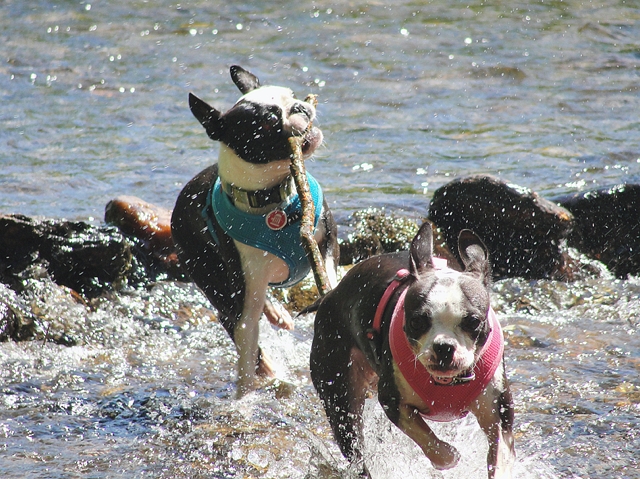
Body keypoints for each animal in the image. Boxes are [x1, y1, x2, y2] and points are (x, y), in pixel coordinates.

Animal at [170, 66, 340, 398]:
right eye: (269, 121)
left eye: (292, 95)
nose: (301, 107)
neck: (275, 198)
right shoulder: (244, 293)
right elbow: (246, 348)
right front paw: (243, 400)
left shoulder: (327, 243)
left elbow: (329, 273)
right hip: (211, 278)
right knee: (231, 320)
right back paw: (268, 363)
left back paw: (276, 313)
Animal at [310, 223, 516, 478]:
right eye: (417, 322)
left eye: (473, 322)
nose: (444, 346)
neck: (447, 382)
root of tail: (330, 294)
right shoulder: (392, 401)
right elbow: (435, 446)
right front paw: (450, 455)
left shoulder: (499, 416)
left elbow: (500, 459)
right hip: (339, 394)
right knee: (354, 447)